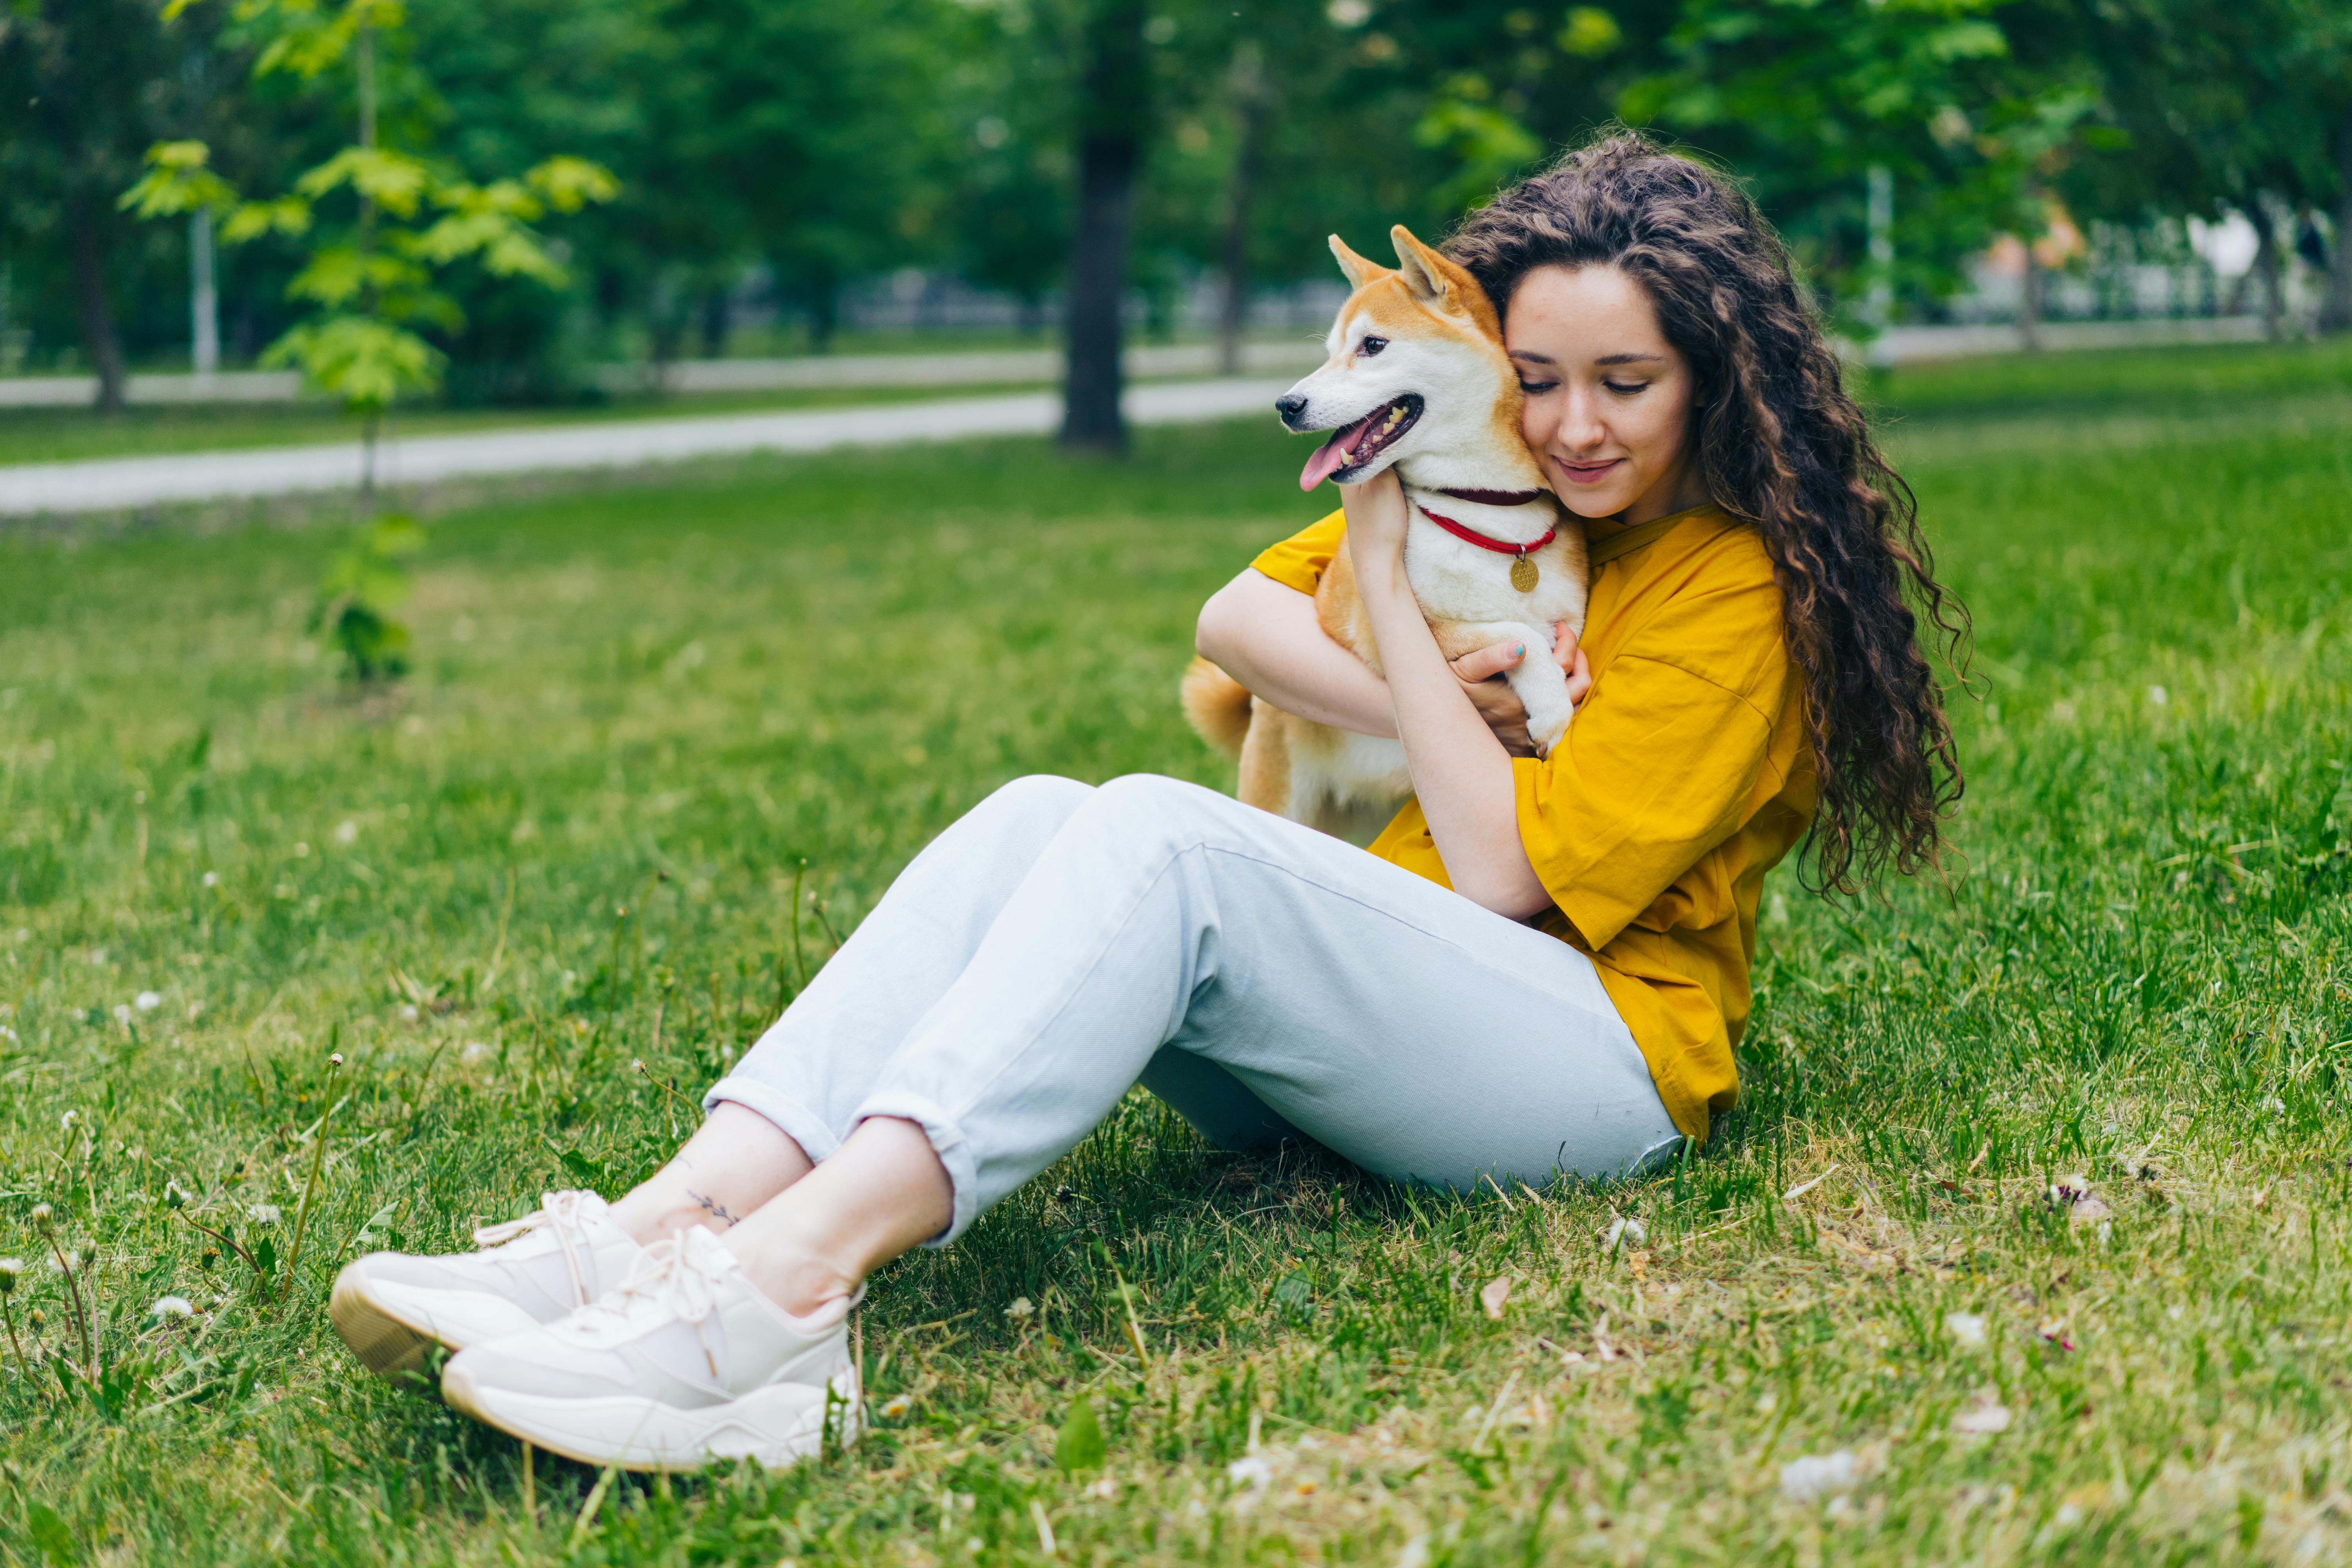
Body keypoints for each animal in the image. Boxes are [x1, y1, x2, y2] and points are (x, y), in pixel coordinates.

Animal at [1185, 227, 1590, 841]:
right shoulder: (1402, 637)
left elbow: (1535, 630)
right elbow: (1515, 632)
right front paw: (1550, 708)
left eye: (1372, 345)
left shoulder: (1571, 620)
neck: (1484, 510)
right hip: (1283, 795)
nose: (1286, 404)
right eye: (1330, 352)